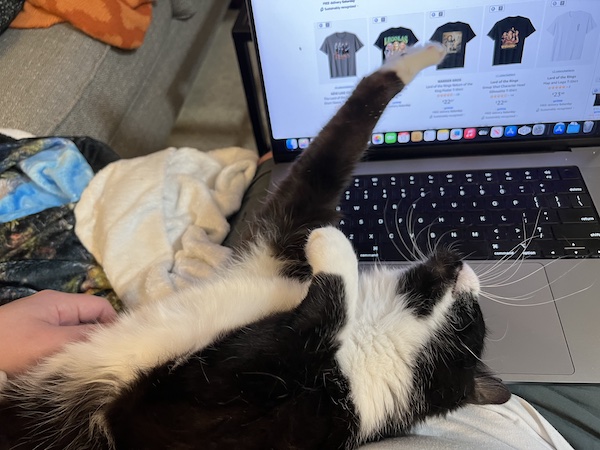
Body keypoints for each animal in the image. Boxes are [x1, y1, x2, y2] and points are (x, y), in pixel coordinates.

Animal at [0, 44, 510, 450]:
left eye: (469, 319)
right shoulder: (280, 240)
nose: (462, 259)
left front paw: (333, 245)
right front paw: (414, 57)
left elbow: (328, 301)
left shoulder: (186, 414)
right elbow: (331, 156)